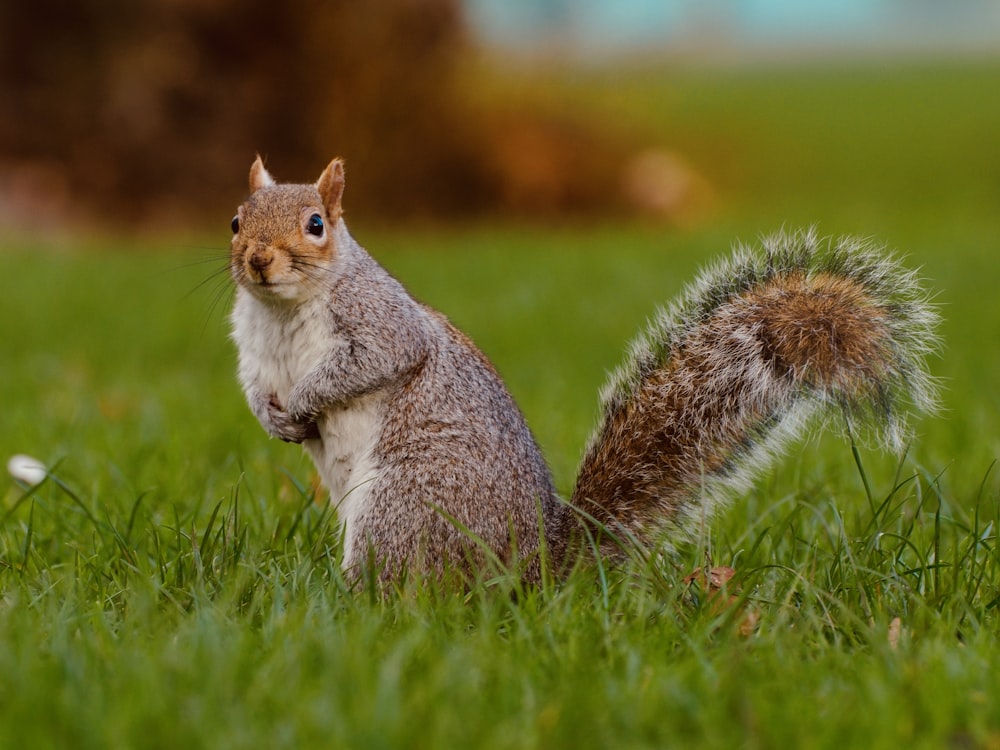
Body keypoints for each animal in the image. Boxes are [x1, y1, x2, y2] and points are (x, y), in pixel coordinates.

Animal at [227, 156, 936, 584]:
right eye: (235, 220)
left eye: (316, 225)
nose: (258, 259)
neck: (283, 313)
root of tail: (534, 571)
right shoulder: (253, 353)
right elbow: (255, 390)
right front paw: (274, 418)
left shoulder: (380, 324)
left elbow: (374, 360)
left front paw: (307, 402)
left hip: (404, 506)